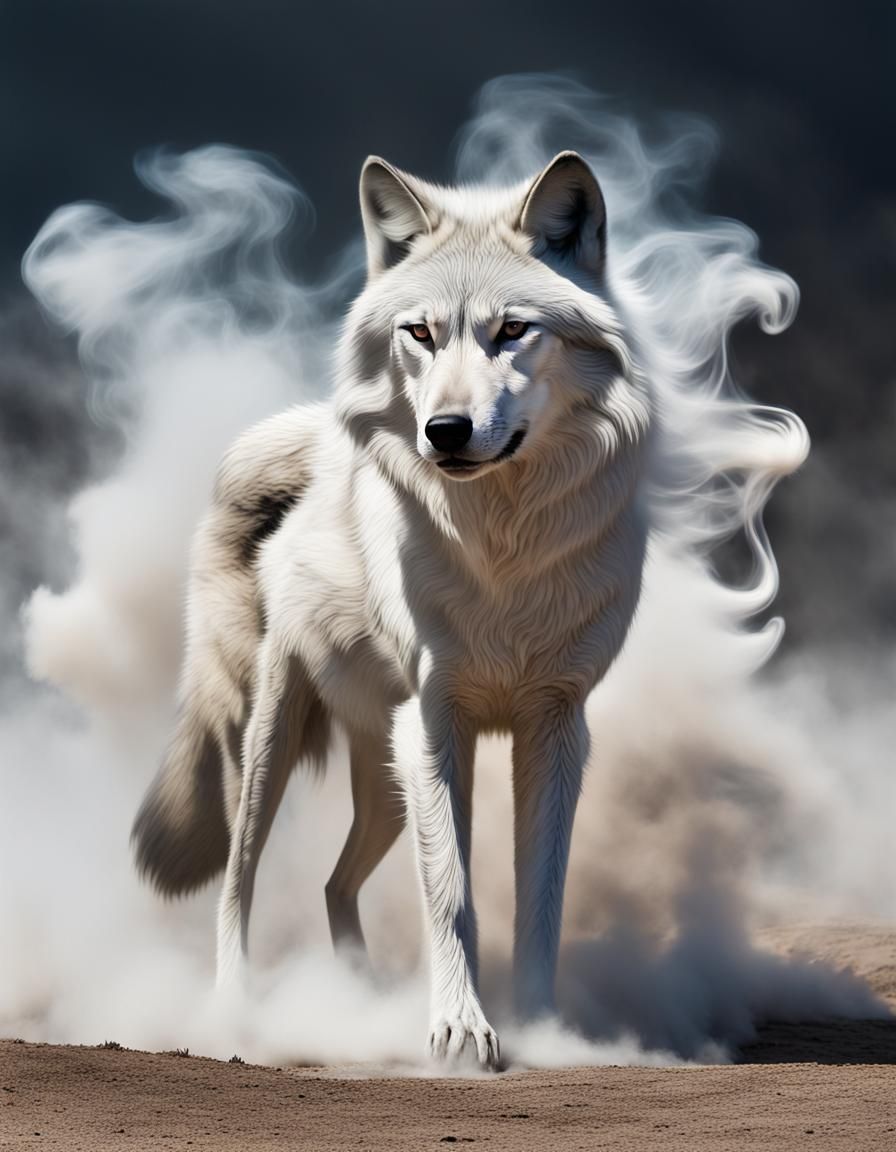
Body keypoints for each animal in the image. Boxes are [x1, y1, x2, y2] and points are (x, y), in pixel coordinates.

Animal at [132, 150, 651, 1068]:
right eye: (421, 334)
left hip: (384, 775)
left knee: (336, 882)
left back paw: (355, 995)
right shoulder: (439, 720)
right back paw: (237, 1018)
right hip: (277, 741)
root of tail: (310, 449)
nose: (445, 430)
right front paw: (461, 1030)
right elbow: (452, 892)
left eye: (511, 331)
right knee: (236, 878)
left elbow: (541, 896)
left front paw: (542, 1029)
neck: (502, 551)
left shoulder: (555, 726)